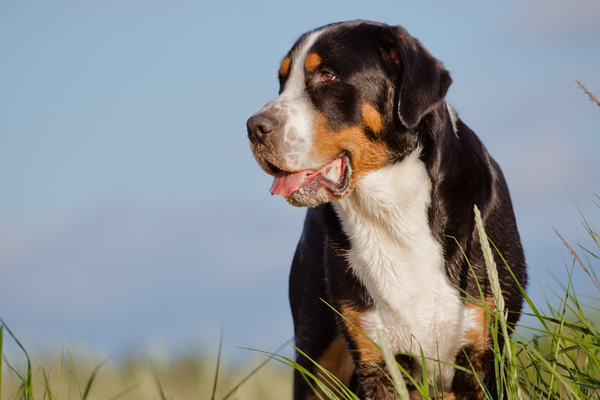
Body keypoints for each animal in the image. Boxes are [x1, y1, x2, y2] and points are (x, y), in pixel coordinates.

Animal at [246, 20, 528, 398]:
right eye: (282, 81)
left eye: (327, 75)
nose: (254, 127)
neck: (390, 213)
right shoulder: (375, 358)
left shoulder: (483, 354)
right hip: (316, 354)